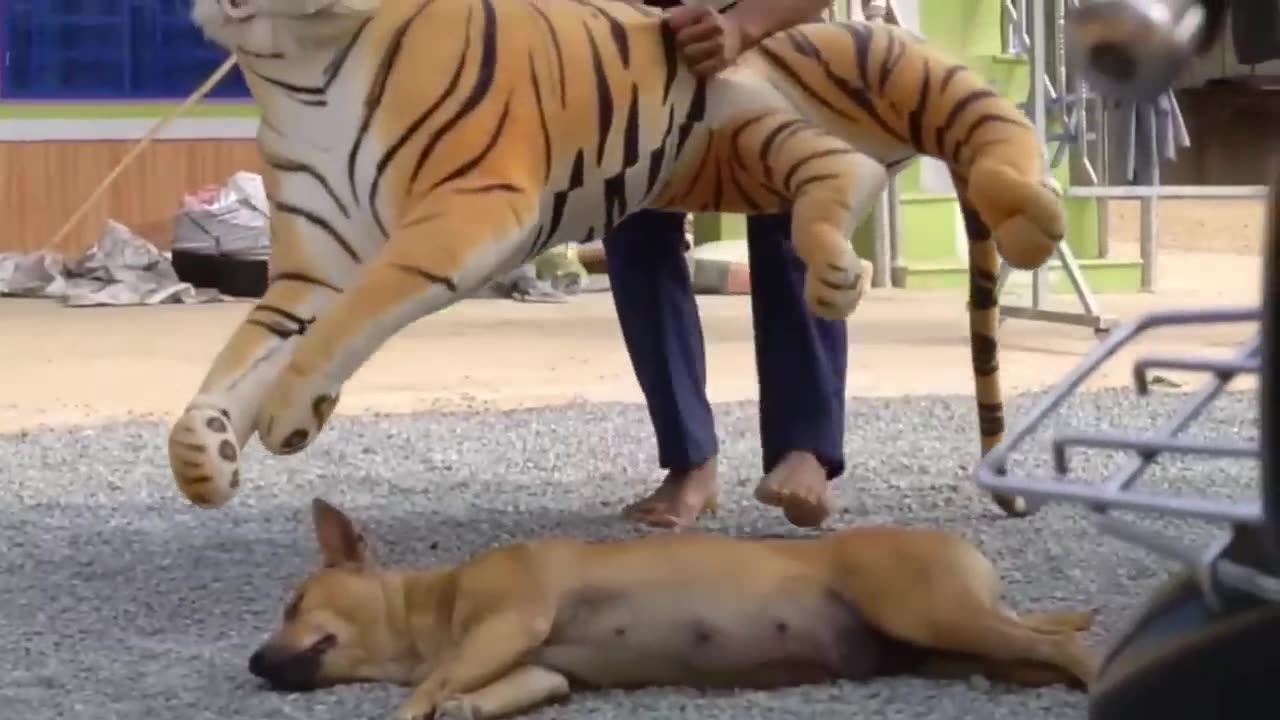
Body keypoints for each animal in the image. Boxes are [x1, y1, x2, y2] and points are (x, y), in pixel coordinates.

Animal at [172, 0, 1059, 515]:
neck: (297, 58)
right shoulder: (316, 262)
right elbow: (243, 361)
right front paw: (209, 455)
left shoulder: (470, 205)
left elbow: (349, 319)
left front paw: (290, 411)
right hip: (733, 149)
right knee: (845, 168)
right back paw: (837, 276)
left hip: (869, 58)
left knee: (995, 131)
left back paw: (1034, 221)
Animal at [249, 499, 1100, 717]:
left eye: (293, 602)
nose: (255, 663)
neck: (436, 601)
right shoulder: (540, 670)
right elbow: (476, 691)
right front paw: (461, 707)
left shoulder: (512, 619)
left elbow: (432, 684)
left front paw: (414, 706)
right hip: (959, 646)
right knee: (1035, 646)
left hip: (936, 615)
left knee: (1060, 648)